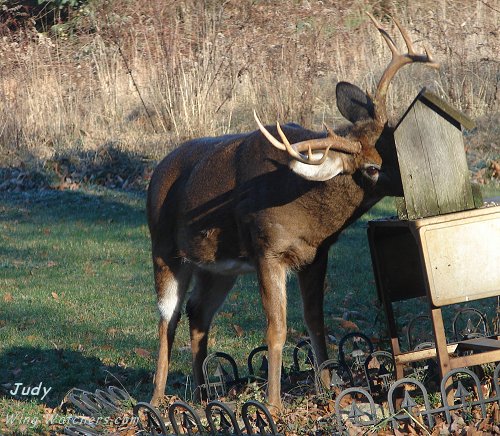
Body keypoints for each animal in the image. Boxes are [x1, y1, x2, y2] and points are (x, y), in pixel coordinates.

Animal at [146, 12, 438, 408]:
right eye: (371, 169)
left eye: (392, 136)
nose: (412, 174)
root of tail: (155, 174)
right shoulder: (267, 250)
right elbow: (277, 329)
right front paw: (273, 403)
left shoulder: (315, 255)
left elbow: (315, 320)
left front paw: (329, 387)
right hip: (164, 249)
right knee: (168, 316)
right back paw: (158, 398)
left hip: (217, 267)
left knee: (198, 312)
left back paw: (205, 394)